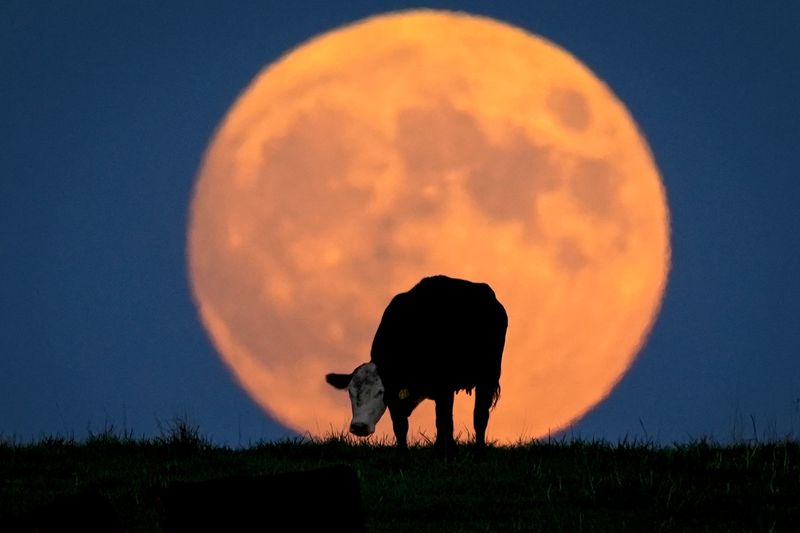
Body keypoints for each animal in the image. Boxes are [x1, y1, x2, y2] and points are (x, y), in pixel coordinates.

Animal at [326, 275, 507, 454]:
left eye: (380, 392)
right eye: (350, 392)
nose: (359, 426)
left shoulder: (444, 386)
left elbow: (445, 420)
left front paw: (448, 451)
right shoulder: (398, 397)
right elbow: (401, 425)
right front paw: (403, 451)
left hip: (488, 376)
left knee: (479, 415)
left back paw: (478, 449)